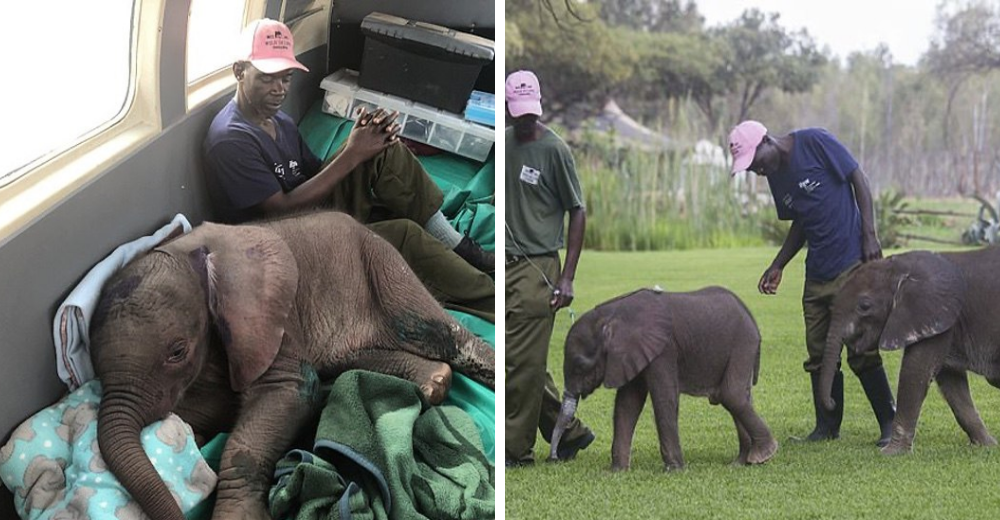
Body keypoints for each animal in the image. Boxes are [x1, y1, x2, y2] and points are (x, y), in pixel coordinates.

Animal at [548, 286, 772, 470]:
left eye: (580, 366)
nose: (554, 458)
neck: (611, 315)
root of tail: (749, 315)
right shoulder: (632, 354)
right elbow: (627, 403)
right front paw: (616, 471)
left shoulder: (662, 350)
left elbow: (663, 398)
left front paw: (675, 470)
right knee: (740, 397)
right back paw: (741, 462)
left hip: (743, 342)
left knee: (731, 394)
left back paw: (762, 455)